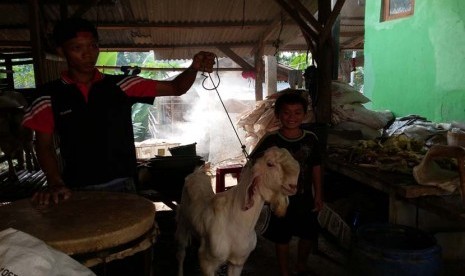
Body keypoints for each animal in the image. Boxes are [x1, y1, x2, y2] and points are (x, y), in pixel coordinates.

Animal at [176, 146, 300, 274]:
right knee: (181, 253)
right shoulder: (207, 262)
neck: (236, 220)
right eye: (270, 164)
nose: (293, 186)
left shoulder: (238, 262)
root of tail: (197, 173)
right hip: (182, 223)